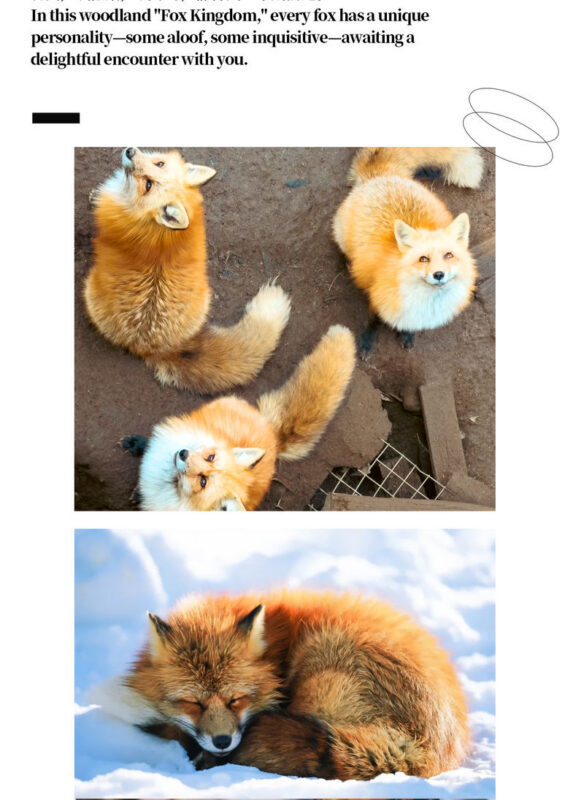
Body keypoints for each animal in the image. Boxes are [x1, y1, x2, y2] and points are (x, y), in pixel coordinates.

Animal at [84, 147, 290, 393]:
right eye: (160, 163)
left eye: (148, 184)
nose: (130, 151)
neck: (155, 228)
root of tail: (154, 347)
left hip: (88, 288)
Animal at [94, 589, 470, 780]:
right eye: (194, 703)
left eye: (236, 699)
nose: (222, 741)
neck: (275, 650)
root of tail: (422, 747)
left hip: (319, 661)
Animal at [122, 324, 356, 510]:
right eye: (210, 457)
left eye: (203, 481)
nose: (183, 454)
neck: (168, 482)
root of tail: (273, 436)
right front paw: (139, 445)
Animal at [333, 147, 483, 350]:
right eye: (423, 258)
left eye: (448, 255)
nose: (438, 274)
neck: (425, 302)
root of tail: (383, 176)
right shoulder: (377, 296)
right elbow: (373, 319)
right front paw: (366, 340)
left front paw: (406, 334)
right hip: (342, 235)